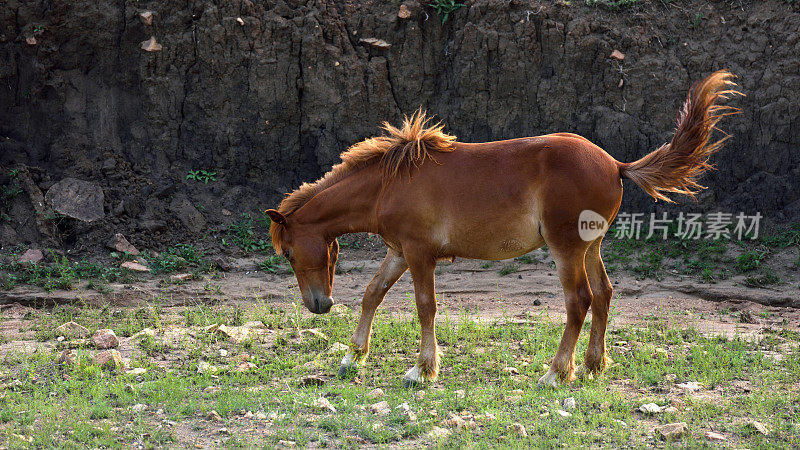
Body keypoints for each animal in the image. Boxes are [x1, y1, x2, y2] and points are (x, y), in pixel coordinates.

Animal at [266, 71, 740, 386]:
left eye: (288, 252)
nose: (318, 305)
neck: (390, 182)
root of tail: (615, 164)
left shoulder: (419, 254)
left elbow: (425, 306)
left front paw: (422, 370)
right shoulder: (398, 251)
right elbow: (372, 294)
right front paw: (353, 357)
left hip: (566, 248)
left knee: (580, 301)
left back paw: (556, 373)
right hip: (592, 247)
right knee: (604, 295)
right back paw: (592, 365)